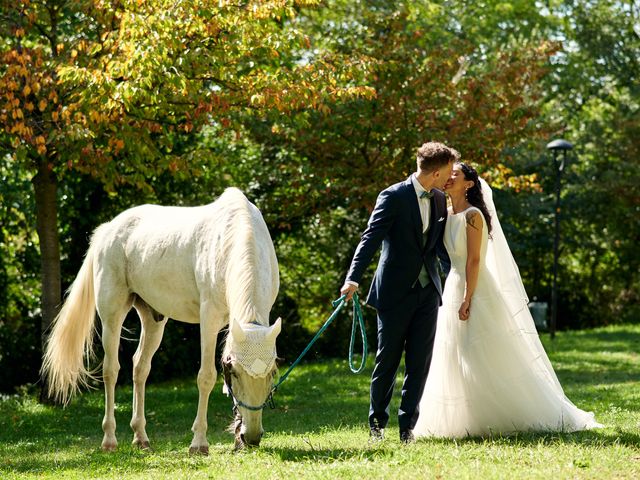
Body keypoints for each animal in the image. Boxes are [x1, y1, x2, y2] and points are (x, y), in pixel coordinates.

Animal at [40, 188, 280, 454]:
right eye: (234, 373)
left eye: (273, 372)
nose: (253, 437)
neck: (233, 237)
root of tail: (108, 229)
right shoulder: (209, 318)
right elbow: (206, 377)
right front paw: (199, 443)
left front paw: (237, 438)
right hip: (112, 314)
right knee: (111, 370)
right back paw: (109, 439)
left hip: (153, 319)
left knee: (140, 368)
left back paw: (141, 437)